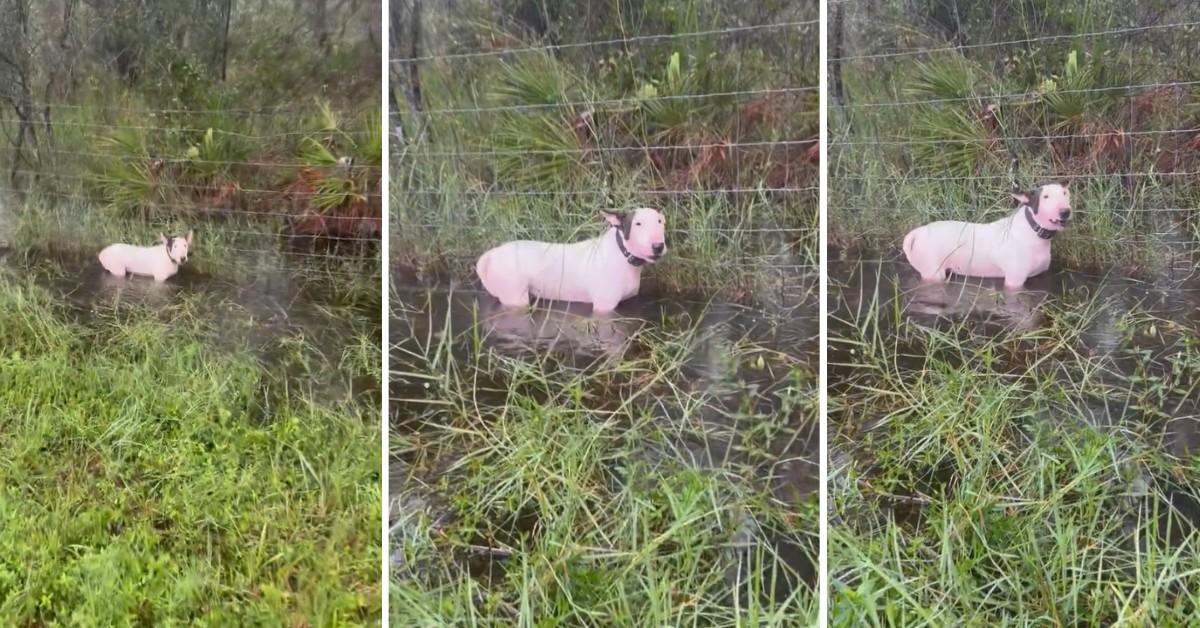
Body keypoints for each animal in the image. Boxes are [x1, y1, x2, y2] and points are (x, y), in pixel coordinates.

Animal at [475, 207, 667, 312]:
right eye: (637, 224)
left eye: (660, 221)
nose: (658, 246)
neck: (622, 254)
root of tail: (490, 255)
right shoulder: (603, 307)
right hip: (514, 296)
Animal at [902, 181, 1070, 290]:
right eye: (1045, 197)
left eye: (1065, 193)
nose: (1065, 212)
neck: (1033, 231)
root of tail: (918, 232)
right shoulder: (1014, 281)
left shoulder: (1041, 276)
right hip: (933, 272)